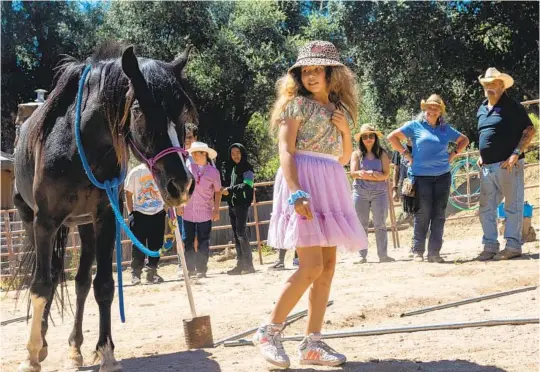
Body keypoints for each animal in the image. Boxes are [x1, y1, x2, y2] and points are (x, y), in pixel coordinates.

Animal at [13, 42, 197, 370]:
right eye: (138, 109)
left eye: (181, 112)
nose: (182, 185)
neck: (79, 148)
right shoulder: (45, 222)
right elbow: (41, 286)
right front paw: (32, 354)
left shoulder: (106, 217)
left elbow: (103, 286)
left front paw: (106, 351)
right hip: (30, 220)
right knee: (46, 278)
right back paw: (42, 342)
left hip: (84, 225)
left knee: (81, 282)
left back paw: (75, 347)